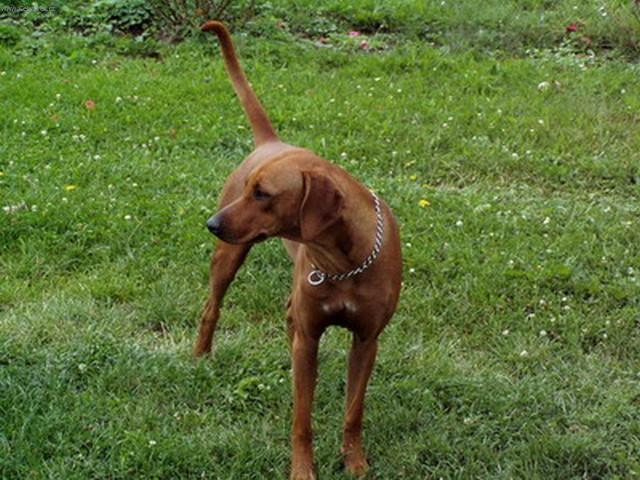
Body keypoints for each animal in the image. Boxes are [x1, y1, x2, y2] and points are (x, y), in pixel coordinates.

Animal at [195, 21, 402, 480]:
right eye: (250, 188)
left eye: (263, 194)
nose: (211, 223)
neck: (344, 262)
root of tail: (272, 140)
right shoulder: (310, 338)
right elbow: (301, 418)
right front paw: (303, 470)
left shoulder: (367, 340)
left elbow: (353, 411)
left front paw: (355, 462)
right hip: (228, 258)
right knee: (211, 308)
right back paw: (199, 357)